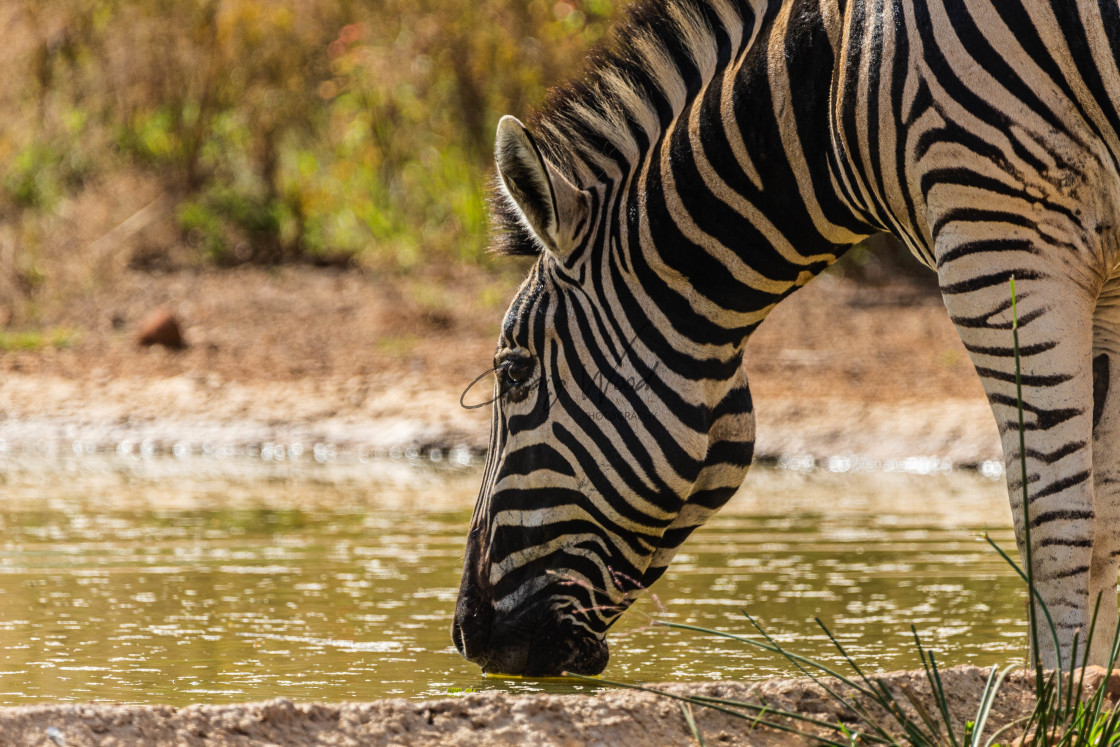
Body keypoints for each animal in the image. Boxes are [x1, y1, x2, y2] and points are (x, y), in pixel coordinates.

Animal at [448, 0, 1120, 676]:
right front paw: (1095, 684)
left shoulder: (1001, 239)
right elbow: (1107, 521)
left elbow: (1053, 517)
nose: (467, 634)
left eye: (514, 374)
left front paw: (1059, 692)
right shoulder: (1106, 284)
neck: (829, 96)